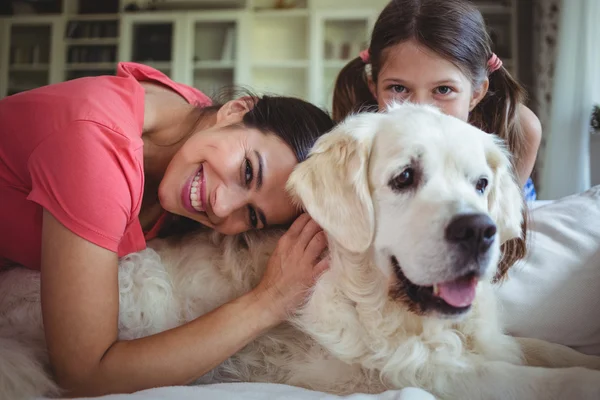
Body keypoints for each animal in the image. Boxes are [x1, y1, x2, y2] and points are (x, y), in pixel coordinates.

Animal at [1, 103, 600, 400]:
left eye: (481, 183)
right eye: (405, 177)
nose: (480, 232)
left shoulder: (490, 343)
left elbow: (549, 351)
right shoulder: (430, 375)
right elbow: (551, 381)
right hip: (139, 275)